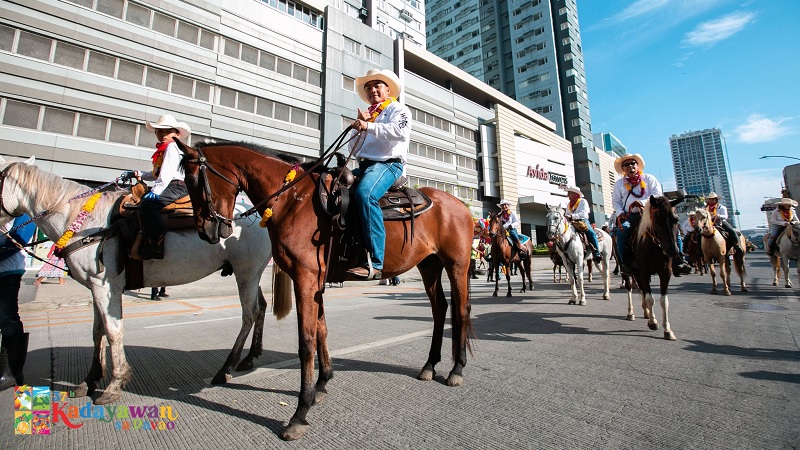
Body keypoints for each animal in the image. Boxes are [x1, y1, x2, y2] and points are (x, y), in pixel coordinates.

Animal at [0, 157, 276, 404]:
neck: (83, 220)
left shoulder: (105, 285)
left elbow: (113, 331)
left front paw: (115, 384)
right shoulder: (94, 287)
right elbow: (98, 331)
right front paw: (89, 380)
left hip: (246, 272)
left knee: (249, 314)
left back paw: (226, 368)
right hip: (249, 274)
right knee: (261, 307)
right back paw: (249, 358)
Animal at [177, 140, 476, 440]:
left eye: (192, 180)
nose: (206, 231)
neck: (292, 200)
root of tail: (461, 205)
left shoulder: (305, 278)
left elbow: (306, 341)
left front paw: (300, 412)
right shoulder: (315, 281)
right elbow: (322, 330)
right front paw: (321, 384)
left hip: (457, 265)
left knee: (461, 310)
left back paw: (457, 369)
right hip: (429, 265)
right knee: (440, 309)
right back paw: (429, 365)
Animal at [620, 195, 684, 340]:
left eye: (676, 219)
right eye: (657, 220)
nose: (673, 251)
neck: (654, 246)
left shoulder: (665, 272)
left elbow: (663, 300)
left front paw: (667, 330)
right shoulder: (644, 271)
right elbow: (650, 298)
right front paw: (653, 322)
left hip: (638, 274)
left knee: (642, 290)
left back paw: (647, 312)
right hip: (628, 272)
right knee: (630, 288)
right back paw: (631, 313)